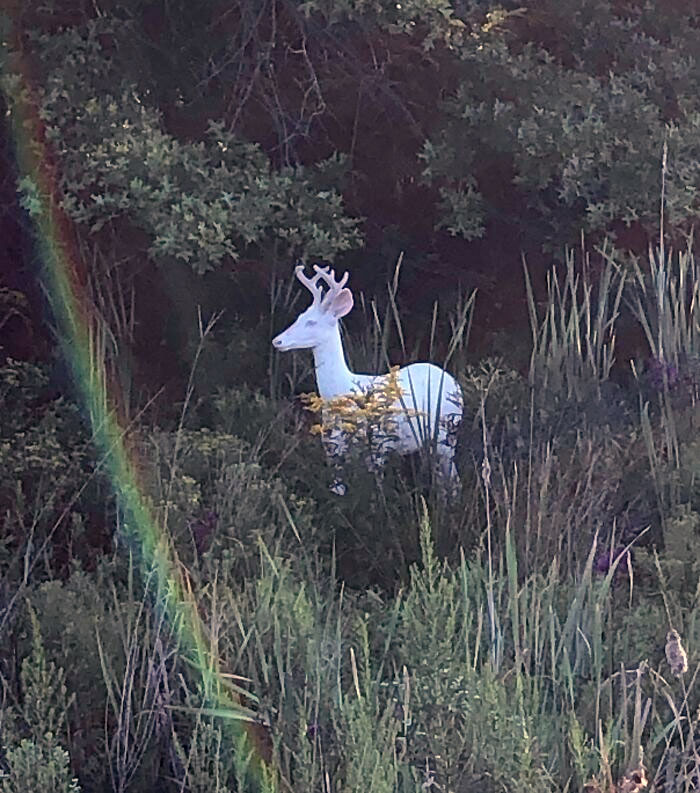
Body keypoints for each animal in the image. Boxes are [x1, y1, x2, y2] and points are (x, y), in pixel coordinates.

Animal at [272, 264, 463, 495]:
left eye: (311, 322)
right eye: (299, 317)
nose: (277, 341)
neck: (340, 390)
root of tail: (454, 382)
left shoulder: (379, 444)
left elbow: (376, 485)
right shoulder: (332, 443)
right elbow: (338, 487)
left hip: (447, 434)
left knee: (453, 480)